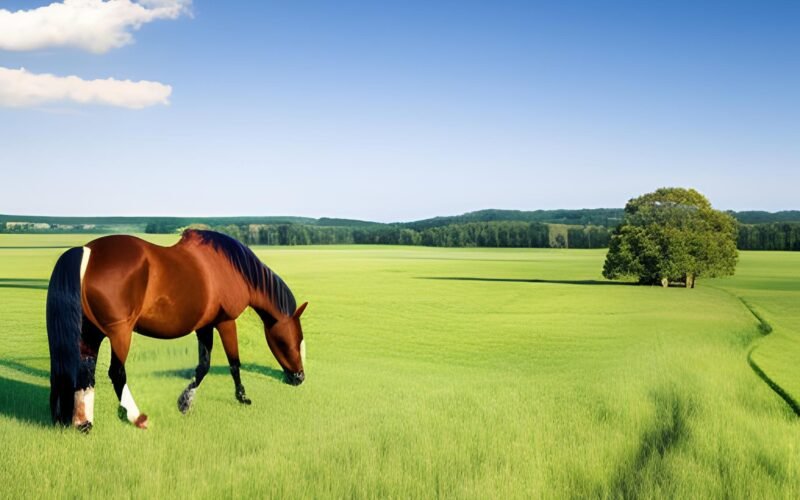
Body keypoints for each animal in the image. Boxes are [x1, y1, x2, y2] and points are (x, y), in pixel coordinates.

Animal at [46, 229, 307, 432]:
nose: (299, 378)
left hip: (91, 333)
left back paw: (84, 423)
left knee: (85, 371)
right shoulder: (225, 322)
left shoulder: (204, 326)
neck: (230, 267)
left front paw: (185, 402)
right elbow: (233, 362)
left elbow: (203, 366)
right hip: (120, 333)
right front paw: (242, 397)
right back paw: (136, 417)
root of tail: (88, 251)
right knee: (116, 372)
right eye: (292, 341)